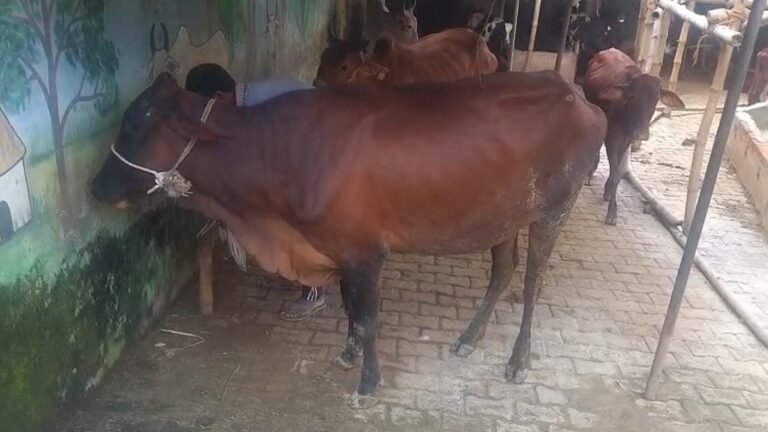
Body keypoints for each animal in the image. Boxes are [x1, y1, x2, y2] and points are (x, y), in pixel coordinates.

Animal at [91, 71, 606, 407]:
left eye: (135, 125)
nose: (95, 187)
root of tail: (578, 95)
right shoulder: (335, 248)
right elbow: (348, 309)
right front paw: (347, 353)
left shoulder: (365, 254)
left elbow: (368, 318)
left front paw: (367, 384)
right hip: (503, 217)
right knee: (502, 272)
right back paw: (468, 338)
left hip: (553, 210)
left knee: (533, 283)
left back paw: (518, 360)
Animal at [583, 48, 685, 226]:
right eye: (632, 96)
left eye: (656, 98)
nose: (642, 134)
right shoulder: (612, 137)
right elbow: (616, 174)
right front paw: (612, 212)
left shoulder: (627, 140)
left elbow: (615, 170)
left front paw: (608, 190)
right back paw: (589, 172)